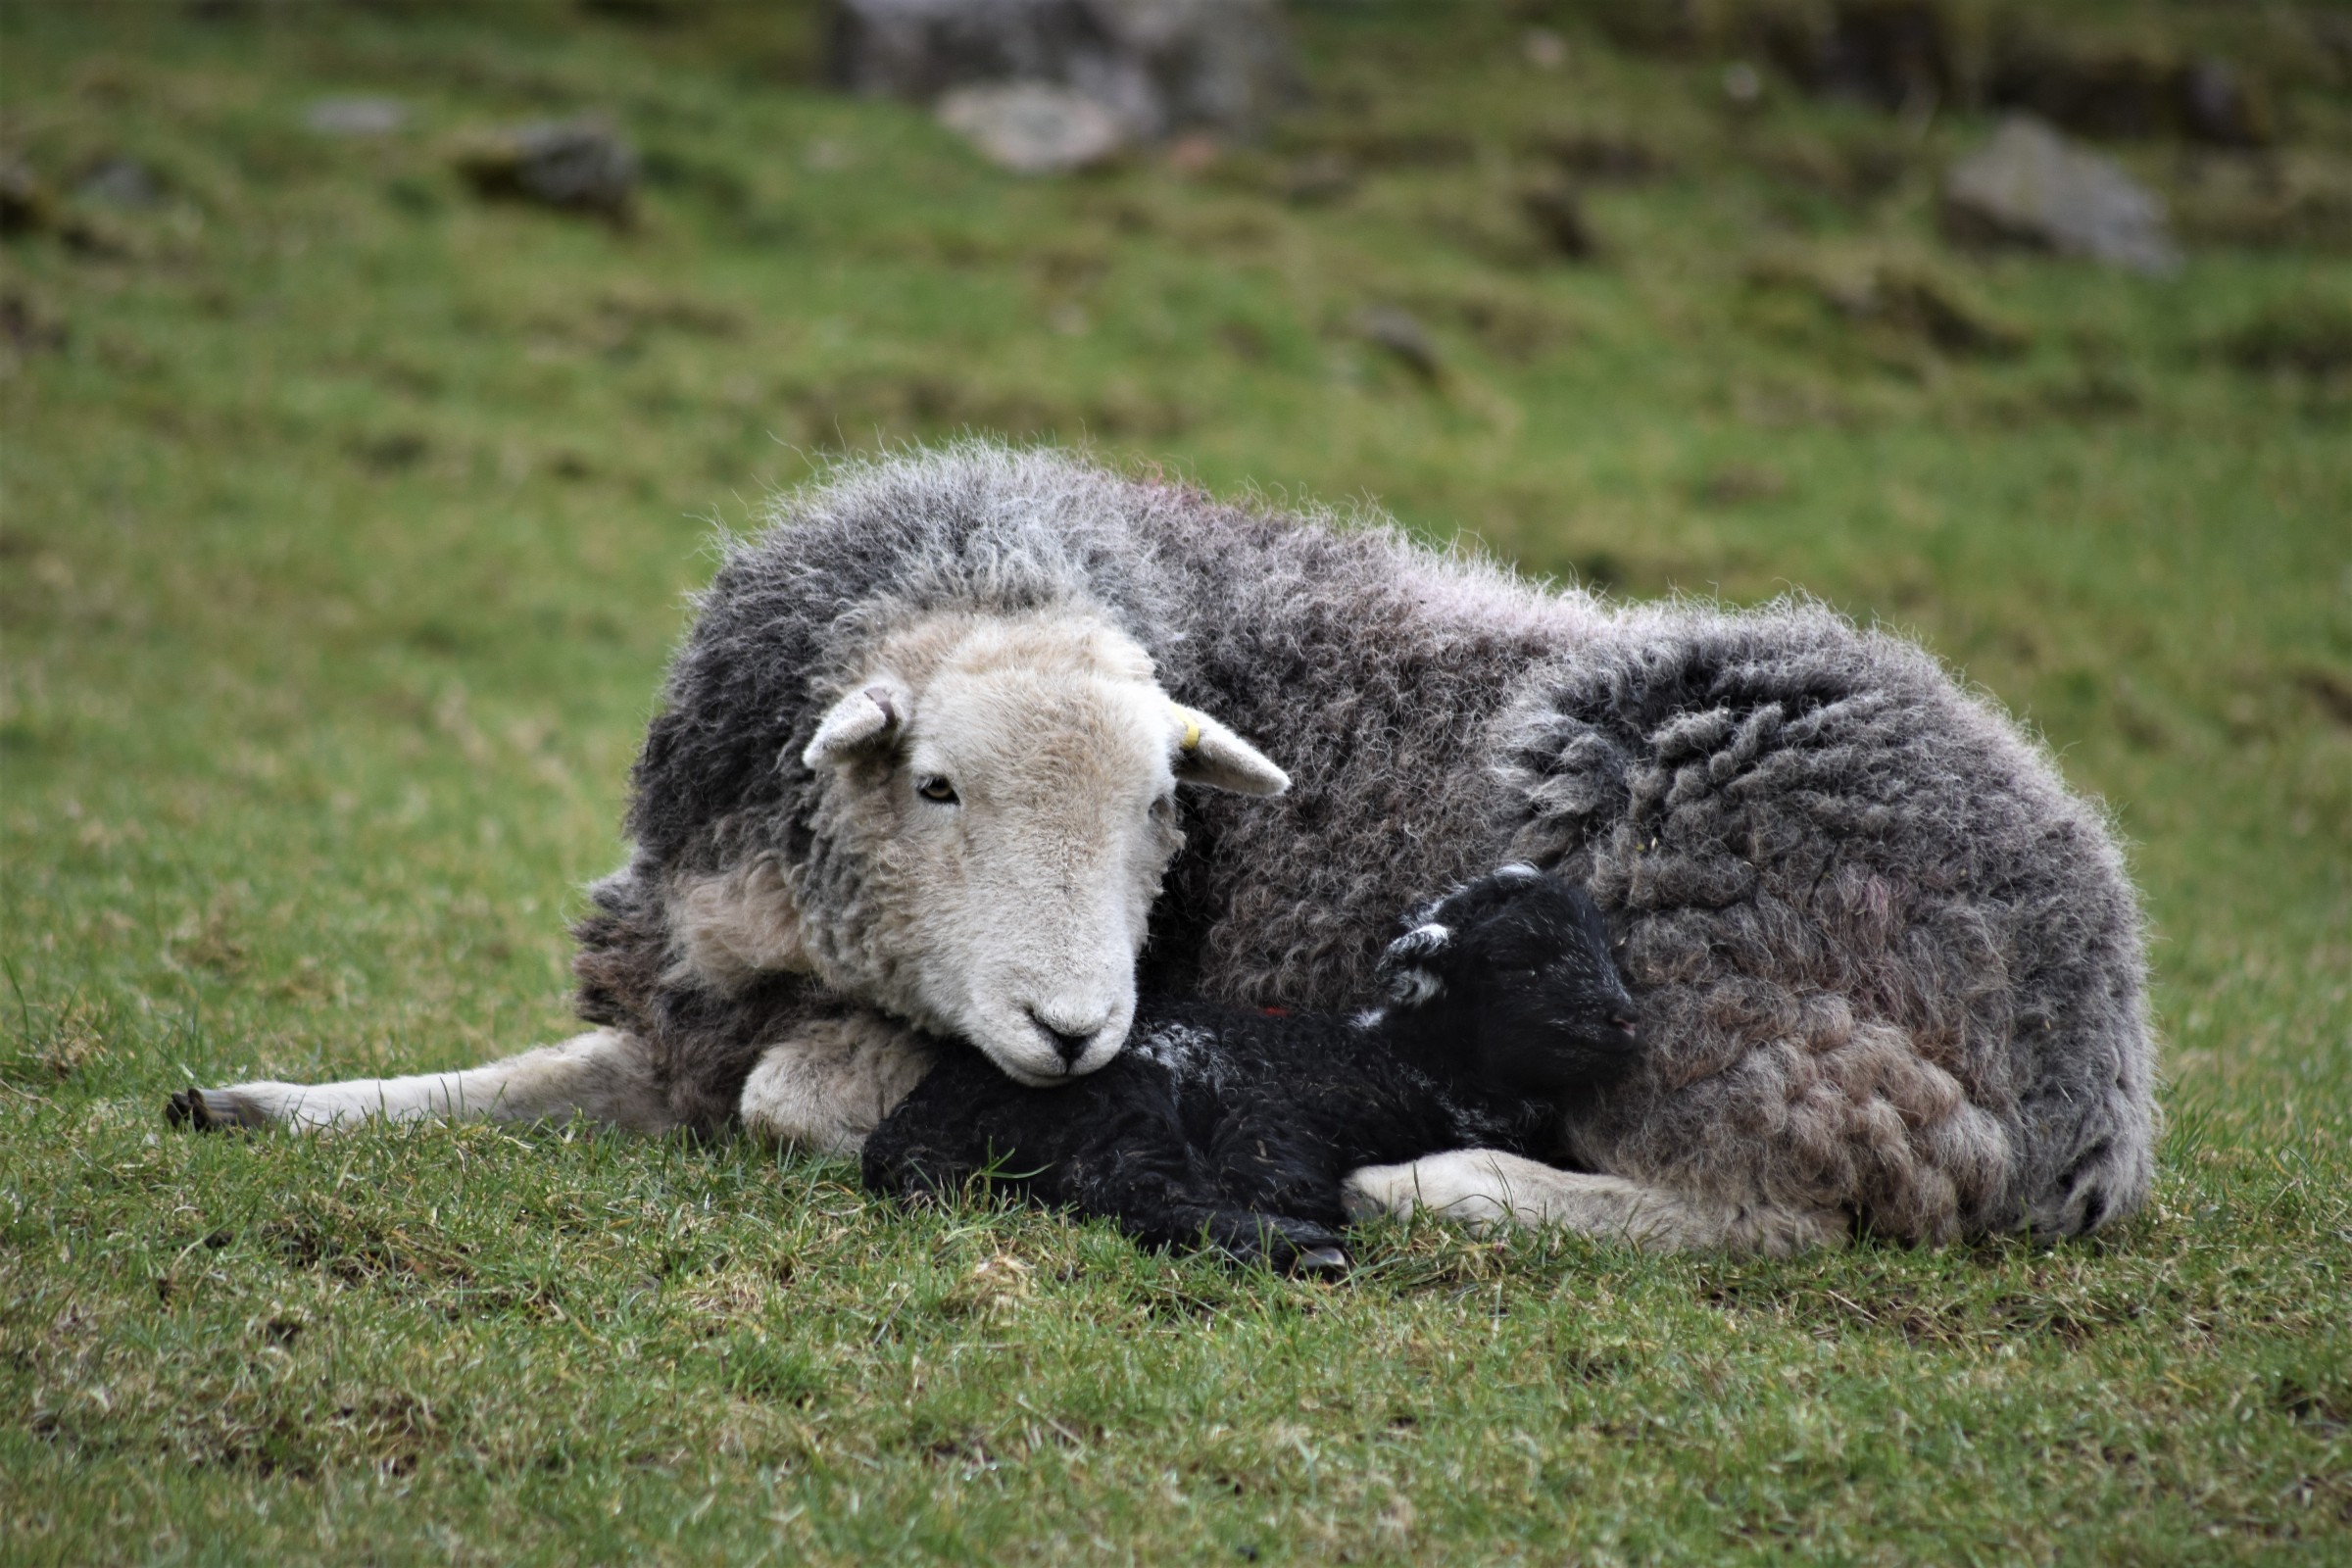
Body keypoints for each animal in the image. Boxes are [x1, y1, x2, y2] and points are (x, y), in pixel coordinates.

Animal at [856, 869, 1646, 1278]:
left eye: (1604, 946)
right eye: (1519, 961)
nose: (1626, 1022)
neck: (1400, 1060)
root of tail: (911, 1126)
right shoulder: (1271, 1112)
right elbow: (1277, 1173)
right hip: (1119, 1101)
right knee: (1136, 1192)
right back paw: (1305, 1249)